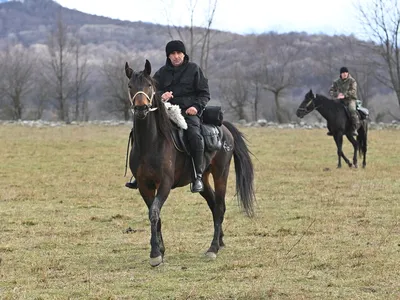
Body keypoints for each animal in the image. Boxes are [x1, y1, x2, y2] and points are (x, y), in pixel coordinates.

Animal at [123, 59, 255, 266]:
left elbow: (154, 212)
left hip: (221, 173)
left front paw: (155, 254)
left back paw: (213, 248)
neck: (151, 142)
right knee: (213, 205)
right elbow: (155, 215)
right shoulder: (144, 185)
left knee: (219, 206)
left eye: (150, 85)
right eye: (130, 86)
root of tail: (224, 128)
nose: (141, 109)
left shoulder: (165, 184)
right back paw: (220, 241)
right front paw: (160, 250)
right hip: (203, 177)